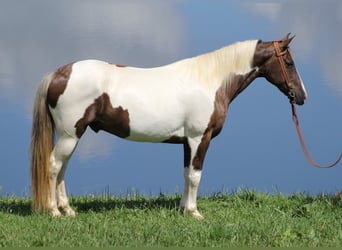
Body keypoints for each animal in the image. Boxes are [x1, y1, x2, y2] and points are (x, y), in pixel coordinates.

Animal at [30, 33, 308, 219]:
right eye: (290, 63)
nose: (302, 96)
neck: (210, 81)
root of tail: (59, 73)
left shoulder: (187, 142)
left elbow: (186, 174)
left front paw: (184, 209)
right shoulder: (199, 138)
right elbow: (195, 175)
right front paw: (195, 213)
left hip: (73, 135)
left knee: (62, 168)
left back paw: (68, 209)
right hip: (69, 135)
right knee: (53, 165)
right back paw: (54, 211)